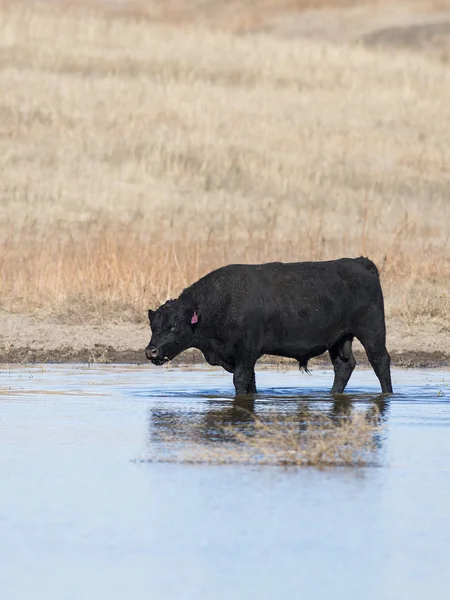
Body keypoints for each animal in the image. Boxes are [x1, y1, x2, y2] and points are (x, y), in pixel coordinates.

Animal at [146, 255, 392, 396]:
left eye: (174, 325)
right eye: (153, 326)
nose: (151, 351)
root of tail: (359, 262)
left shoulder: (247, 351)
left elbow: (241, 380)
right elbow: (250, 382)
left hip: (372, 331)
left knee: (380, 362)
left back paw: (388, 393)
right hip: (339, 339)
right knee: (344, 366)